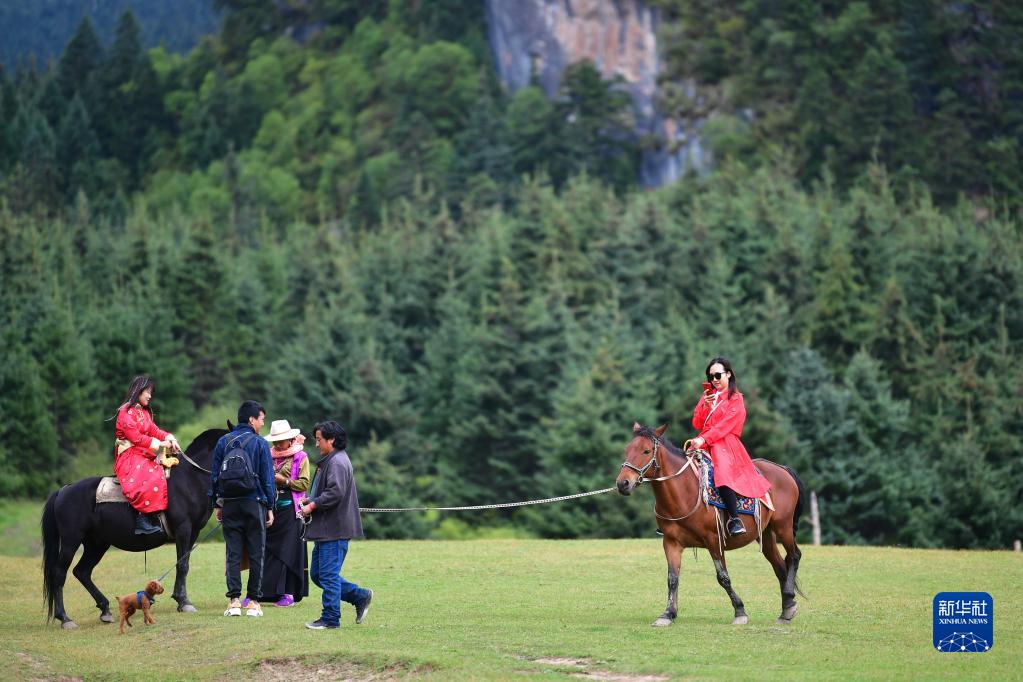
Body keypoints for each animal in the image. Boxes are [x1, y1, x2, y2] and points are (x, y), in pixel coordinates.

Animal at [42, 427, 226, 629]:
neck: (191, 480)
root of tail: (63, 490)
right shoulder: (183, 529)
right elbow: (182, 565)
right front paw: (184, 602)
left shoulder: (193, 532)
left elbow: (183, 563)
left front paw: (180, 599)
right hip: (71, 541)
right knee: (59, 574)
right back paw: (65, 618)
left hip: (96, 544)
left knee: (82, 572)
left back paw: (105, 610)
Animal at [613, 423, 806, 625]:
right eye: (627, 450)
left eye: (646, 450)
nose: (623, 483)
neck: (684, 494)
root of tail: (782, 468)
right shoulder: (671, 543)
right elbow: (672, 578)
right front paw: (668, 613)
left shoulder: (714, 540)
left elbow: (723, 577)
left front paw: (740, 611)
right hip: (766, 534)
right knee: (779, 567)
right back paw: (787, 608)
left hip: (783, 526)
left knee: (794, 556)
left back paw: (788, 599)